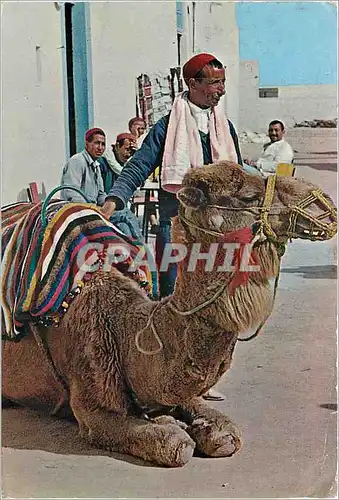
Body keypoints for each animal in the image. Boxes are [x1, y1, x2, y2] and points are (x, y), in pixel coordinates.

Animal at [1, 162, 338, 466]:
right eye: (248, 196)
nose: (324, 204)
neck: (124, 328)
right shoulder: (92, 406)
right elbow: (177, 445)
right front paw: (171, 425)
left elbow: (226, 434)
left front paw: (193, 424)